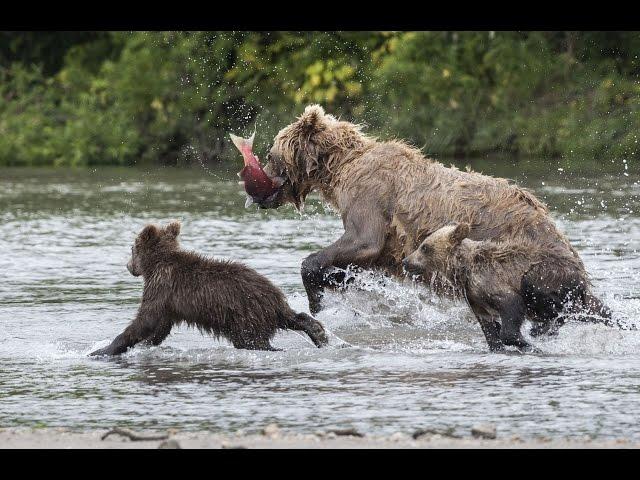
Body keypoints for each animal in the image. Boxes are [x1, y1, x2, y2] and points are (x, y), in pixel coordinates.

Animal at [89, 222, 328, 356]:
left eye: (132, 248)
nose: (128, 266)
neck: (156, 265)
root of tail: (274, 297)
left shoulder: (162, 286)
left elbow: (145, 320)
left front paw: (102, 350)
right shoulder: (169, 302)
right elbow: (159, 327)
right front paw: (144, 344)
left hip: (245, 316)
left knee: (253, 342)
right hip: (263, 312)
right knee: (293, 318)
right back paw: (318, 333)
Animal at [251, 105, 608, 322]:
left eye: (270, 154)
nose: (258, 192)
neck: (339, 168)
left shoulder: (369, 195)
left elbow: (363, 240)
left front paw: (317, 298)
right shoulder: (392, 249)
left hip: (517, 254)